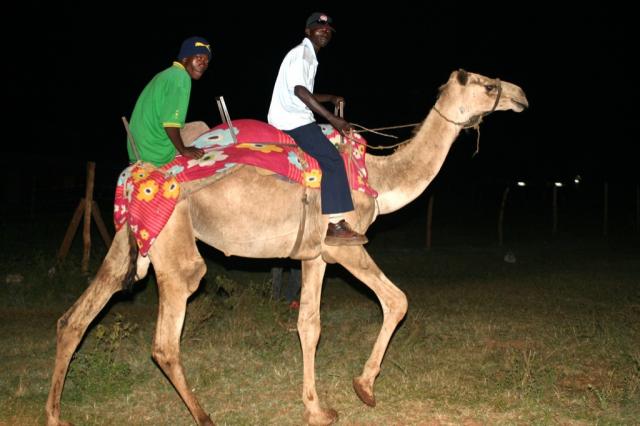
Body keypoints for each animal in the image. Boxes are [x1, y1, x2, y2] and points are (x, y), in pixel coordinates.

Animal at [45, 69, 528, 426]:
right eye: (487, 84)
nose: (520, 95)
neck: (379, 177)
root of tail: (134, 176)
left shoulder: (315, 254)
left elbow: (309, 324)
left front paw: (317, 409)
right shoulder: (345, 244)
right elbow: (397, 300)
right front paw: (365, 388)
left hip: (129, 236)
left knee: (76, 315)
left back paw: (55, 415)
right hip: (173, 241)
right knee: (165, 338)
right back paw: (204, 416)